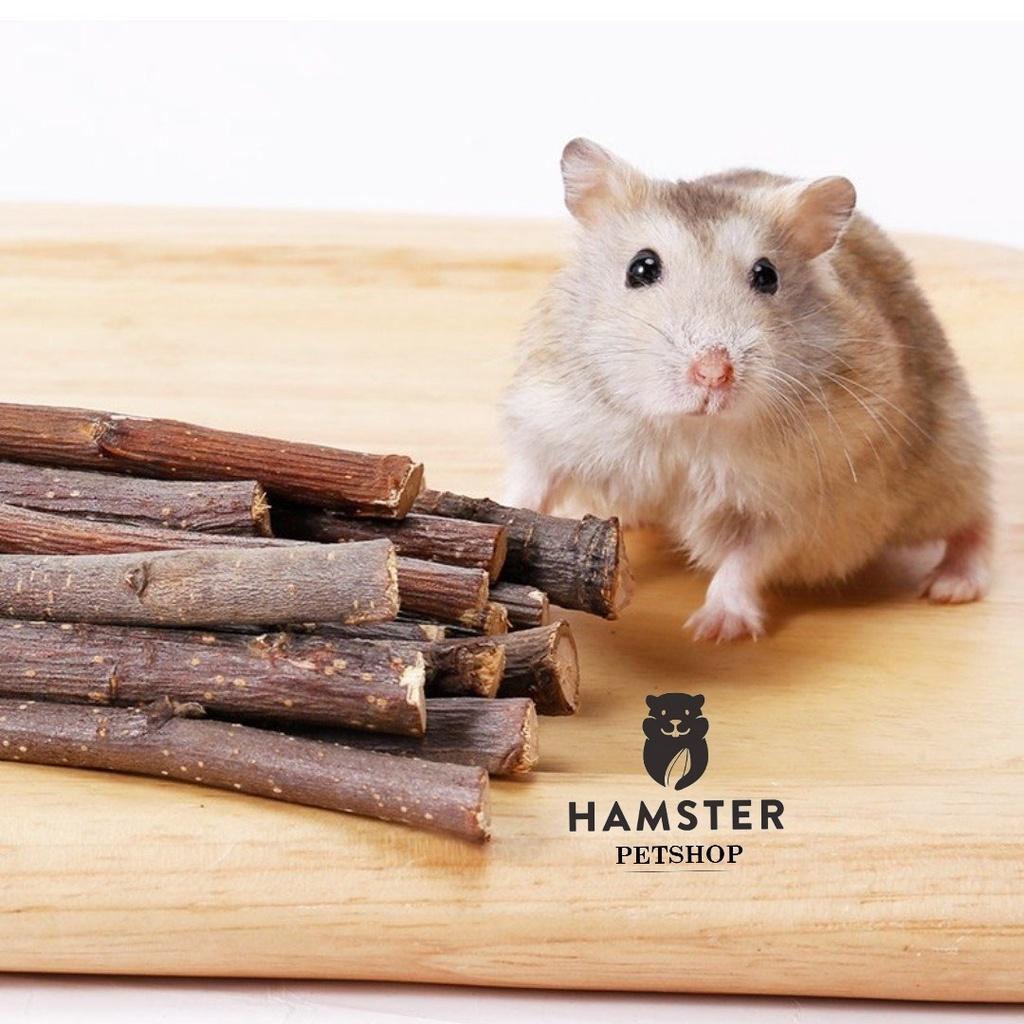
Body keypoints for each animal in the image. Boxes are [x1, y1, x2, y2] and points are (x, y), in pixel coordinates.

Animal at [501, 138, 993, 641]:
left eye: (766, 274)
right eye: (641, 267)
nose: (713, 373)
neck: (686, 430)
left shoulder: (795, 502)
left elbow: (747, 560)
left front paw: (712, 630)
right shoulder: (552, 428)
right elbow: (528, 488)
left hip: (951, 458)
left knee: (977, 521)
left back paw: (952, 587)